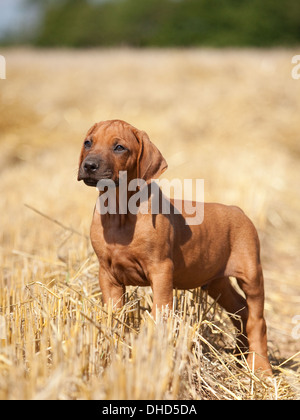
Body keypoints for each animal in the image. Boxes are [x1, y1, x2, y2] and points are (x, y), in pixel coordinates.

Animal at [77, 119, 272, 374]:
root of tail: (237, 209)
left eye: (119, 147)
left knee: (257, 319)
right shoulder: (107, 274)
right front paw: (112, 347)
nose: (89, 165)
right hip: (215, 281)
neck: (120, 211)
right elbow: (114, 315)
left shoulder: (161, 270)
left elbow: (160, 313)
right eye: (88, 143)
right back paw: (241, 353)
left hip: (251, 274)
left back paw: (260, 367)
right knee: (241, 310)